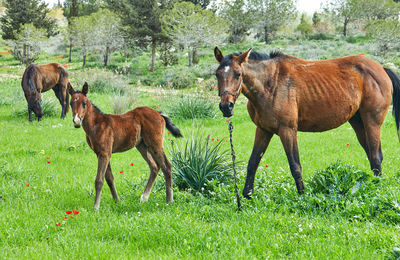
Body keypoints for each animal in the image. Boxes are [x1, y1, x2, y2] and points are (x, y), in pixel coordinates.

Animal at [68, 82, 181, 210]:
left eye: (84, 103)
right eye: (71, 103)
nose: (76, 121)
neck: (96, 124)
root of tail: (158, 113)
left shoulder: (104, 154)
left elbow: (99, 180)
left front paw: (96, 207)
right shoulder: (101, 154)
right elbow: (109, 178)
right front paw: (117, 201)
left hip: (155, 144)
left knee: (166, 167)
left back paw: (169, 201)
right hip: (142, 146)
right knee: (154, 166)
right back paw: (144, 198)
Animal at [214, 47, 400, 197]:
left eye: (238, 74)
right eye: (217, 74)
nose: (226, 106)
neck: (270, 84)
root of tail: (381, 68)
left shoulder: (288, 130)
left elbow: (295, 165)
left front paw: (302, 194)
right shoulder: (263, 130)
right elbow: (253, 162)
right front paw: (247, 195)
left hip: (372, 122)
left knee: (376, 156)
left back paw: (376, 188)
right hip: (358, 123)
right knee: (371, 155)